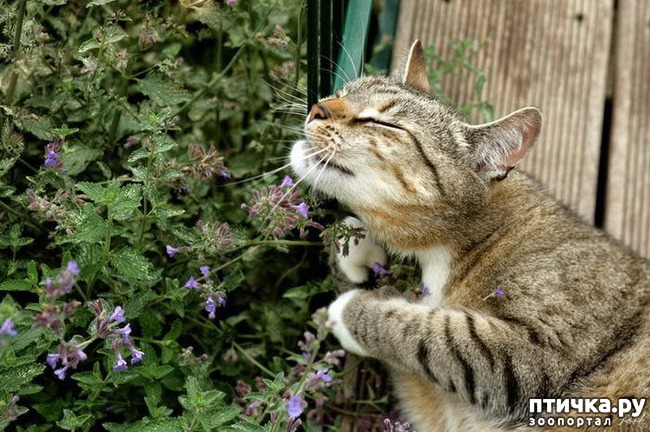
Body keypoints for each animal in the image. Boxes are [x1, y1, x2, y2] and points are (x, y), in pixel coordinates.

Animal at [290, 41, 648, 432]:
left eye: (383, 123)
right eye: (342, 93)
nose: (318, 107)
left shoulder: (534, 350)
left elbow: (432, 333)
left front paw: (349, 311)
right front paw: (358, 251)